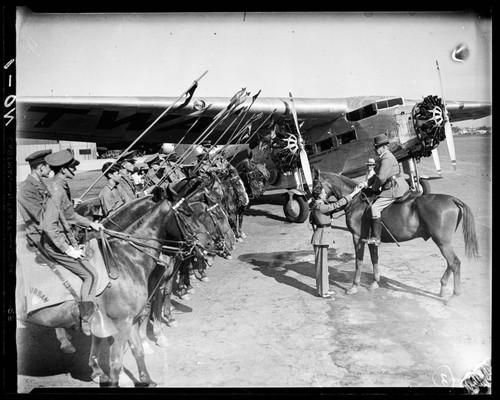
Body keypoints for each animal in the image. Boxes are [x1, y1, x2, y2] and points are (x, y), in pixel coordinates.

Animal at [316, 169, 480, 304]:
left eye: (316, 186)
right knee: (450, 264)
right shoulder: (371, 240)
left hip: (442, 243)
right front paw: (374, 283)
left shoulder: (357, 238)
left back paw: (454, 295)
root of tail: (452, 199)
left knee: (454, 263)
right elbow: (374, 259)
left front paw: (354, 286)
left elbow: (359, 262)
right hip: (443, 243)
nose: (313, 201)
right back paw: (443, 287)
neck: (356, 201)